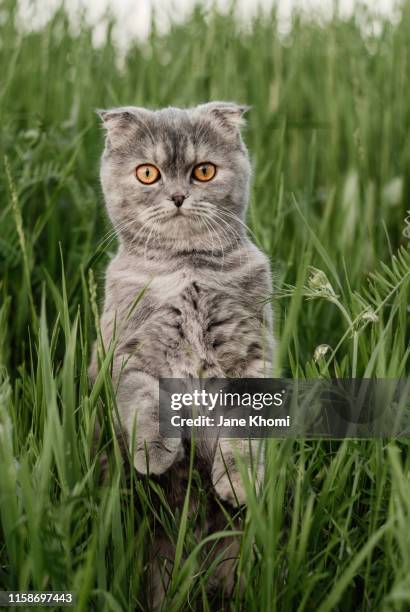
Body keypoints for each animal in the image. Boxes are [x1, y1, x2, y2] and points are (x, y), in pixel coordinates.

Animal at [90, 103, 276, 608]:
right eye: (148, 173)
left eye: (203, 171)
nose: (176, 196)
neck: (186, 267)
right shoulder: (128, 351)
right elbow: (145, 399)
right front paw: (154, 454)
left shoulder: (251, 356)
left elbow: (244, 431)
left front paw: (237, 481)